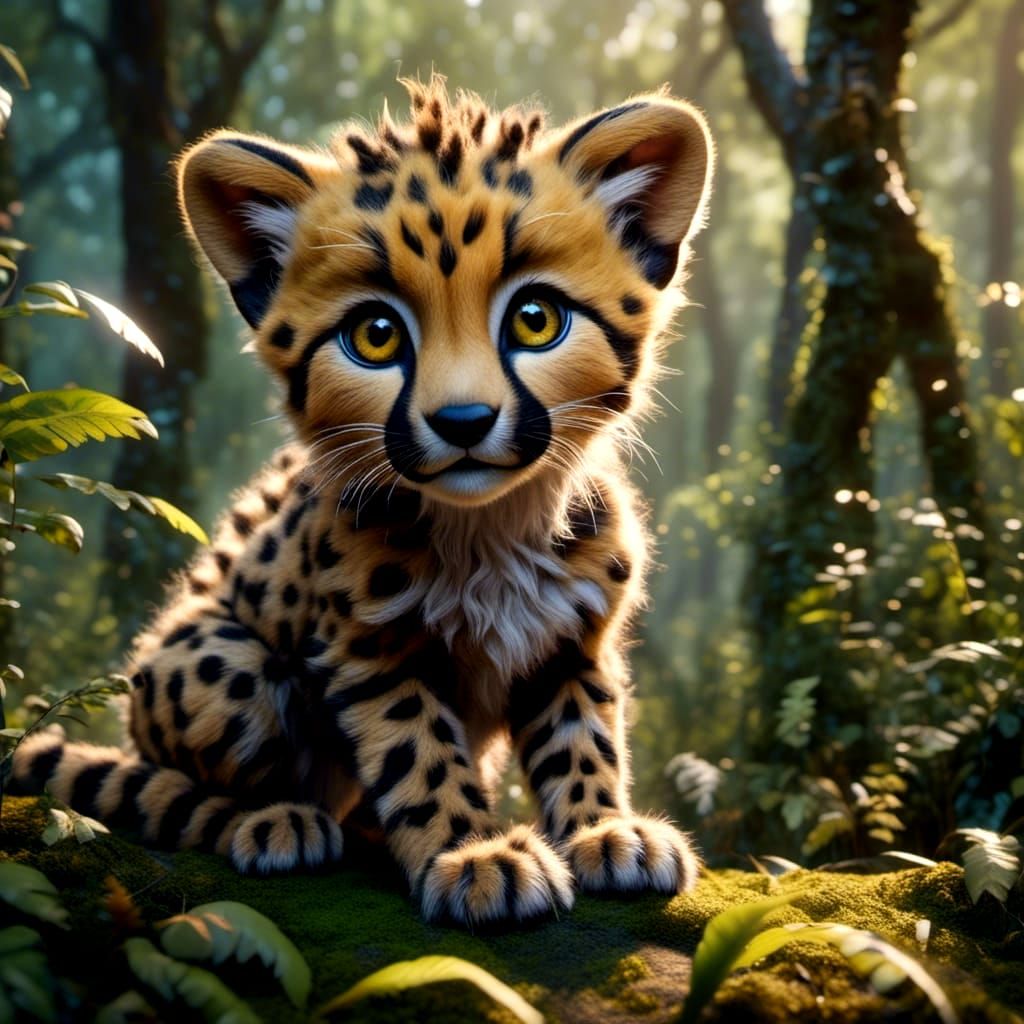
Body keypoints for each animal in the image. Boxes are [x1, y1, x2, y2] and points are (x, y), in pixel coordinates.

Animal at [13, 75, 714, 927]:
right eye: (376, 335)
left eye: (535, 319)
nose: (463, 421)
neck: (490, 528)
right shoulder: (368, 648)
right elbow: (420, 754)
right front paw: (474, 856)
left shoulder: (574, 641)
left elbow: (584, 739)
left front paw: (604, 831)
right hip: (217, 668)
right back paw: (276, 821)